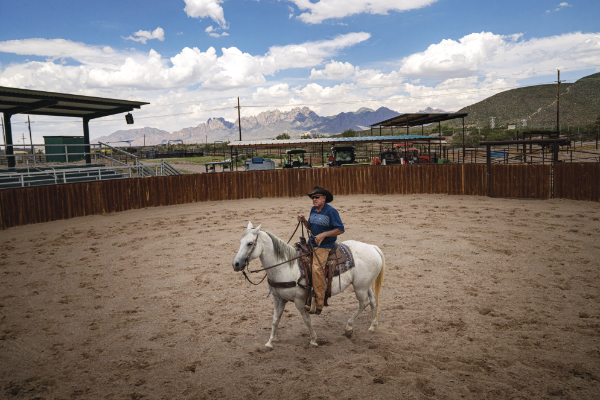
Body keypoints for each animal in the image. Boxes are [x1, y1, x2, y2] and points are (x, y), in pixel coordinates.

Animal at [232, 222, 386, 350]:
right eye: (240, 242)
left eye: (250, 243)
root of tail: (373, 247)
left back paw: (349, 328)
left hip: (360, 288)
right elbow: (275, 320)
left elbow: (307, 320)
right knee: (373, 301)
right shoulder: (278, 298)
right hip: (364, 285)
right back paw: (372, 326)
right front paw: (270, 342)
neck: (285, 266)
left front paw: (313, 340)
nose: (236, 264)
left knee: (364, 303)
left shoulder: (299, 301)